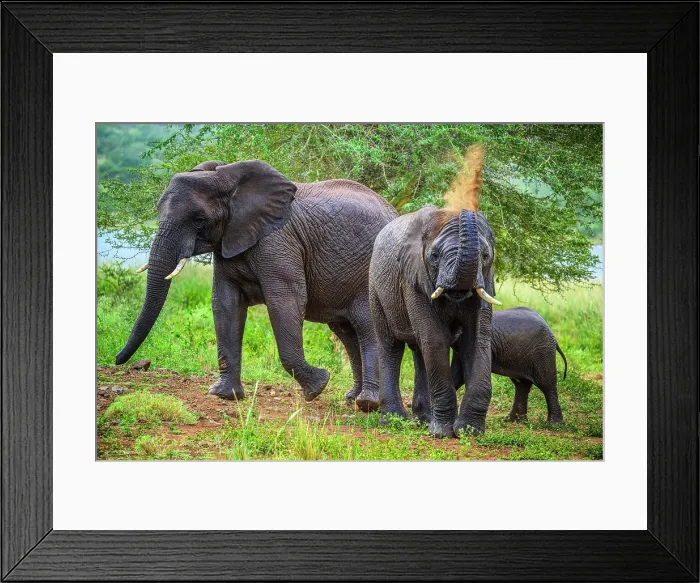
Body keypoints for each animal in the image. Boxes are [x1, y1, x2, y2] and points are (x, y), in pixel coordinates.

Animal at [116, 159, 398, 410]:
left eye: (198, 220)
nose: (118, 360)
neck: (227, 177)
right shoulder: (228, 241)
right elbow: (225, 303)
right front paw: (224, 395)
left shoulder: (278, 241)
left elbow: (285, 300)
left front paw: (318, 386)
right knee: (346, 333)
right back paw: (352, 399)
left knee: (365, 326)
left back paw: (367, 404)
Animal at [368, 146, 500, 438]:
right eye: (435, 256)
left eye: (486, 255)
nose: (476, 152)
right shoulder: (413, 279)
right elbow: (435, 339)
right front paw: (441, 433)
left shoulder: (487, 280)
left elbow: (478, 338)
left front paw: (469, 432)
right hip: (375, 287)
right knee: (391, 346)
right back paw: (394, 421)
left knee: (419, 351)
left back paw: (421, 420)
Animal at [410, 307, 567, 424]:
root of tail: (552, 335)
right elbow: (457, 374)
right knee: (521, 384)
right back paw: (512, 420)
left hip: (542, 352)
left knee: (547, 385)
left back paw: (553, 424)